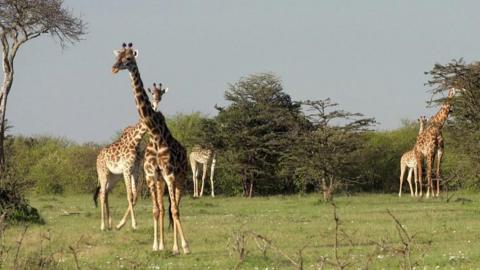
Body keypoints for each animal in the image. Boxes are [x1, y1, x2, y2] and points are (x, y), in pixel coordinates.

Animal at [94, 85, 169, 232]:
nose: (157, 100)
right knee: (102, 193)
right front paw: (133, 224)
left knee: (105, 193)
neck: (136, 140)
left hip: (114, 176)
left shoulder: (135, 170)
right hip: (103, 173)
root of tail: (97, 158)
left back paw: (110, 224)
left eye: (161, 93)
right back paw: (102, 226)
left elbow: (135, 196)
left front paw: (121, 224)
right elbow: (129, 196)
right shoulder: (126, 169)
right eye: (152, 93)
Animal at [112, 42, 189, 255]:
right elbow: (156, 210)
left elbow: (174, 210)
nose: (113, 68)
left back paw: (180, 246)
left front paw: (180, 247)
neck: (154, 133)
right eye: (118, 56)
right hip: (161, 179)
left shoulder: (169, 173)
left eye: (128, 59)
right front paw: (157, 245)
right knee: (164, 208)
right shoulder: (151, 173)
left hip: (180, 178)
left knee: (175, 207)